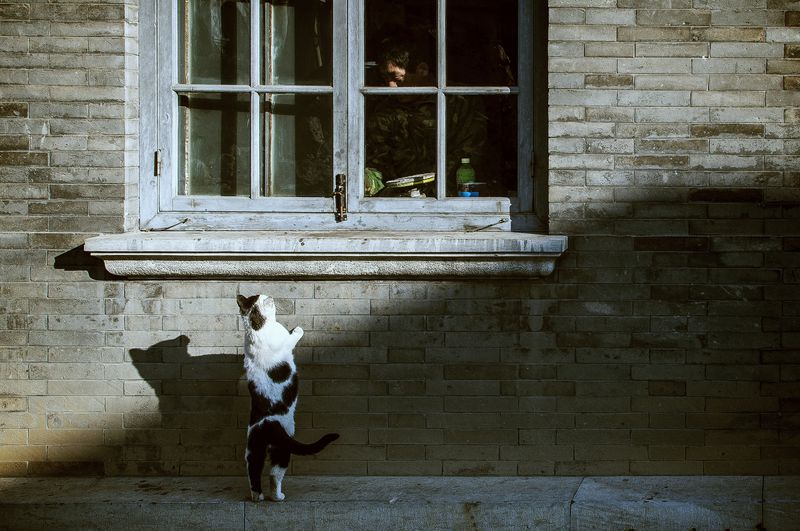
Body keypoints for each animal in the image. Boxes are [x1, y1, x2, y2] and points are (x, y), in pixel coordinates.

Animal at [236, 294, 340, 504]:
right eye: (264, 297)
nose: (270, 295)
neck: (256, 329)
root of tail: (266, 424)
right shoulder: (285, 341)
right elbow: (292, 337)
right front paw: (298, 329)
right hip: (282, 447)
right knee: (274, 475)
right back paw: (278, 496)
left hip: (252, 450)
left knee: (254, 473)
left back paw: (257, 497)